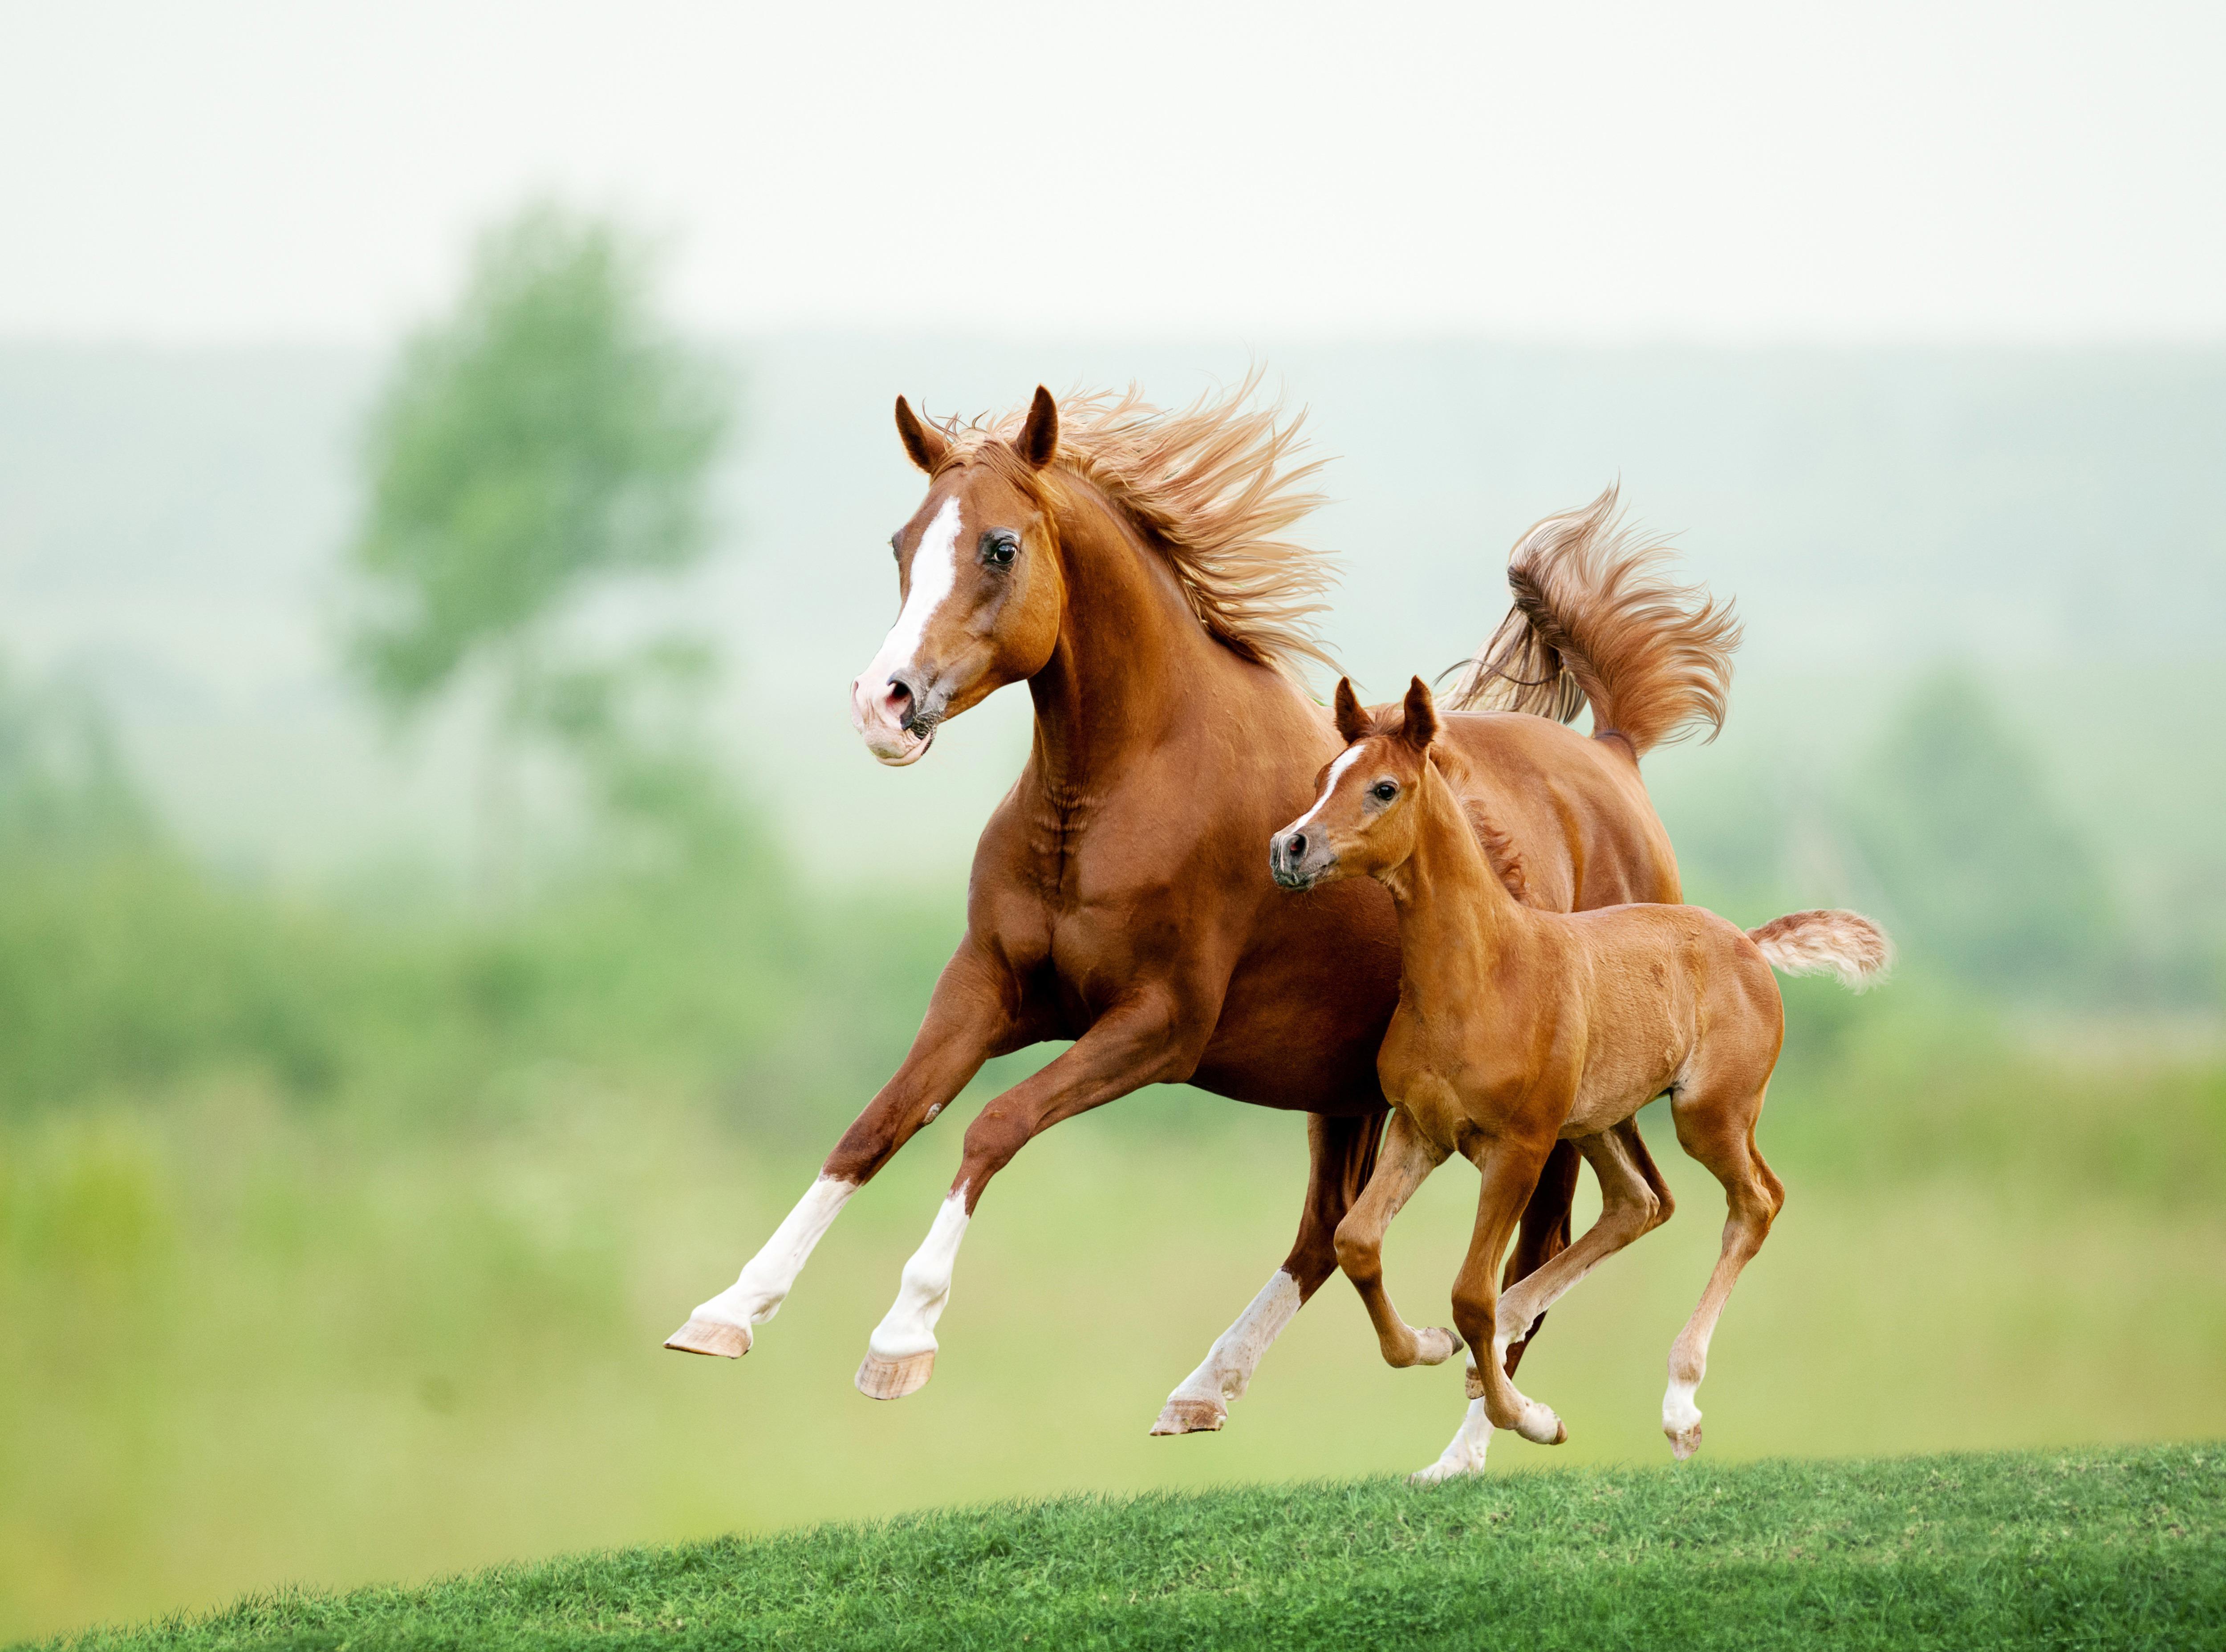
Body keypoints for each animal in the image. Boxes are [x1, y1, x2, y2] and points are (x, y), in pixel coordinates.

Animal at [666, 378, 1740, 1437]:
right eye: (901, 543)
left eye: (1000, 546)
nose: (883, 704)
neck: (1117, 790)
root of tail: (1612, 755)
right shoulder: (987, 989)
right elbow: (876, 1124)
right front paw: (727, 1311)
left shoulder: (1157, 1026)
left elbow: (993, 1127)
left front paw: (902, 1338)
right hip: (1347, 1088)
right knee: (1329, 1232)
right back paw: (1210, 1385)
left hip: (1549, 1108)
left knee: (1541, 1247)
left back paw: (1483, 1436)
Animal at [1271, 676, 1889, 1480]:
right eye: (1324, 776)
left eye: (1384, 787)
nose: (1290, 846)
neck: (1482, 974)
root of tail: (1750, 944)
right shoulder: (1420, 1129)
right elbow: (1358, 1243)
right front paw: (1431, 1345)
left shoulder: (1520, 1147)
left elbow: (1469, 1292)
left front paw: (1529, 1417)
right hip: (1598, 1119)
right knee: (1638, 1203)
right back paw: (1499, 1346)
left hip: (1708, 1114)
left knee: (1755, 1202)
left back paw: (1679, 1404)